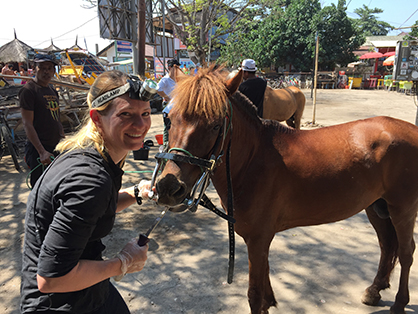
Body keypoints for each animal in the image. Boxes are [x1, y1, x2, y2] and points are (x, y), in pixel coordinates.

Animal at [154, 66, 418, 314]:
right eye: (169, 119)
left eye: (216, 125)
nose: (169, 187)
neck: (253, 160)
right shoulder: (260, 239)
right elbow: (264, 277)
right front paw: (270, 302)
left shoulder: (258, 238)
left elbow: (254, 293)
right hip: (377, 207)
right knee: (387, 246)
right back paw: (375, 290)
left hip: (403, 209)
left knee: (406, 252)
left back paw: (399, 303)